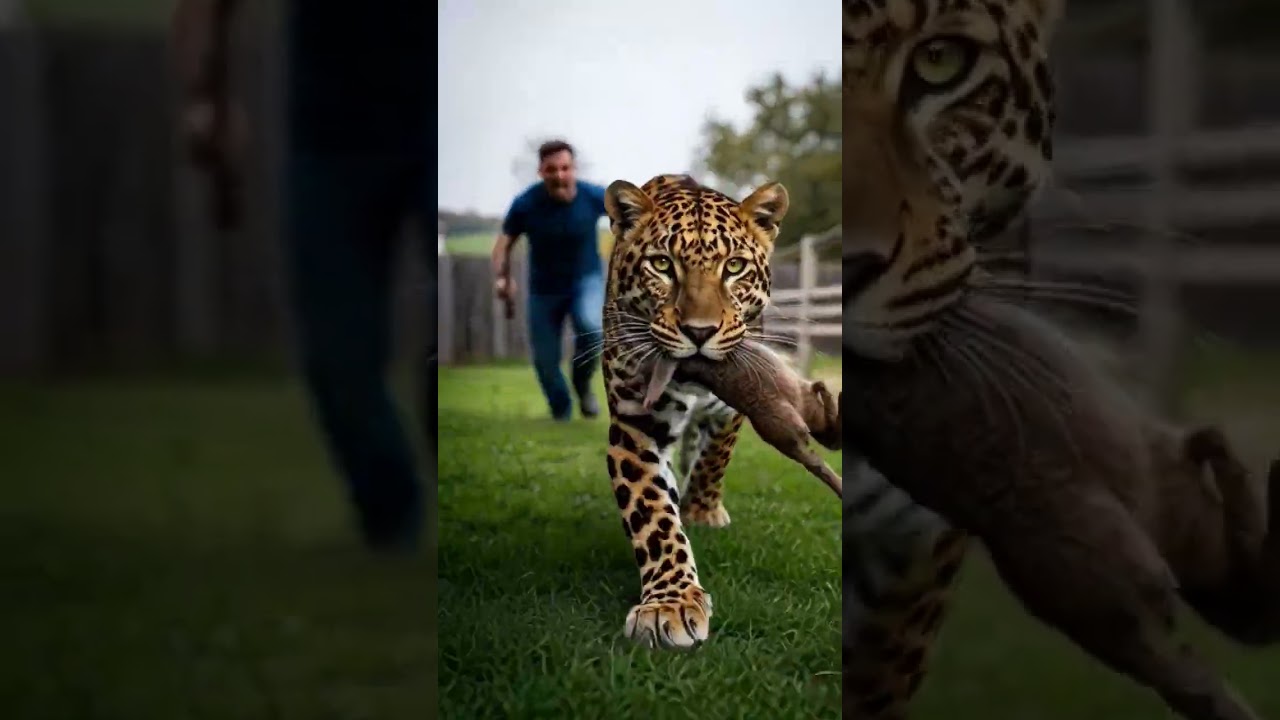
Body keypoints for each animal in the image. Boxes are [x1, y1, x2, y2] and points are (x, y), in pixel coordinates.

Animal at [599, 173, 791, 648]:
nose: (699, 332)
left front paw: (702, 511)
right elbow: (653, 515)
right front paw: (669, 604)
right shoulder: (634, 426)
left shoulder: (734, 406)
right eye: (662, 265)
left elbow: (713, 459)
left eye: (734, 267)